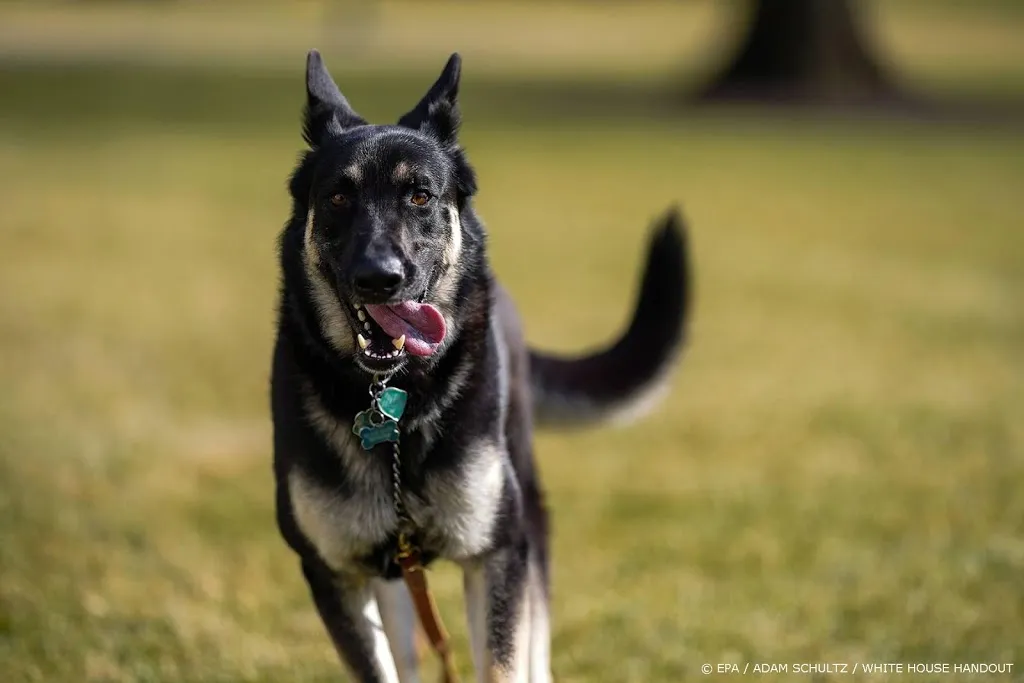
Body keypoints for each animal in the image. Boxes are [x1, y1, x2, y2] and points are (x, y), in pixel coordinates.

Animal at [272, 49, 688, 683]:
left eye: (420, 196)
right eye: (339, 197)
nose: (379, 278)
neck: (396, 403)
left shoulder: (497, 555)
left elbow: (502, 662)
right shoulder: (335, 573)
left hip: (528, 519)